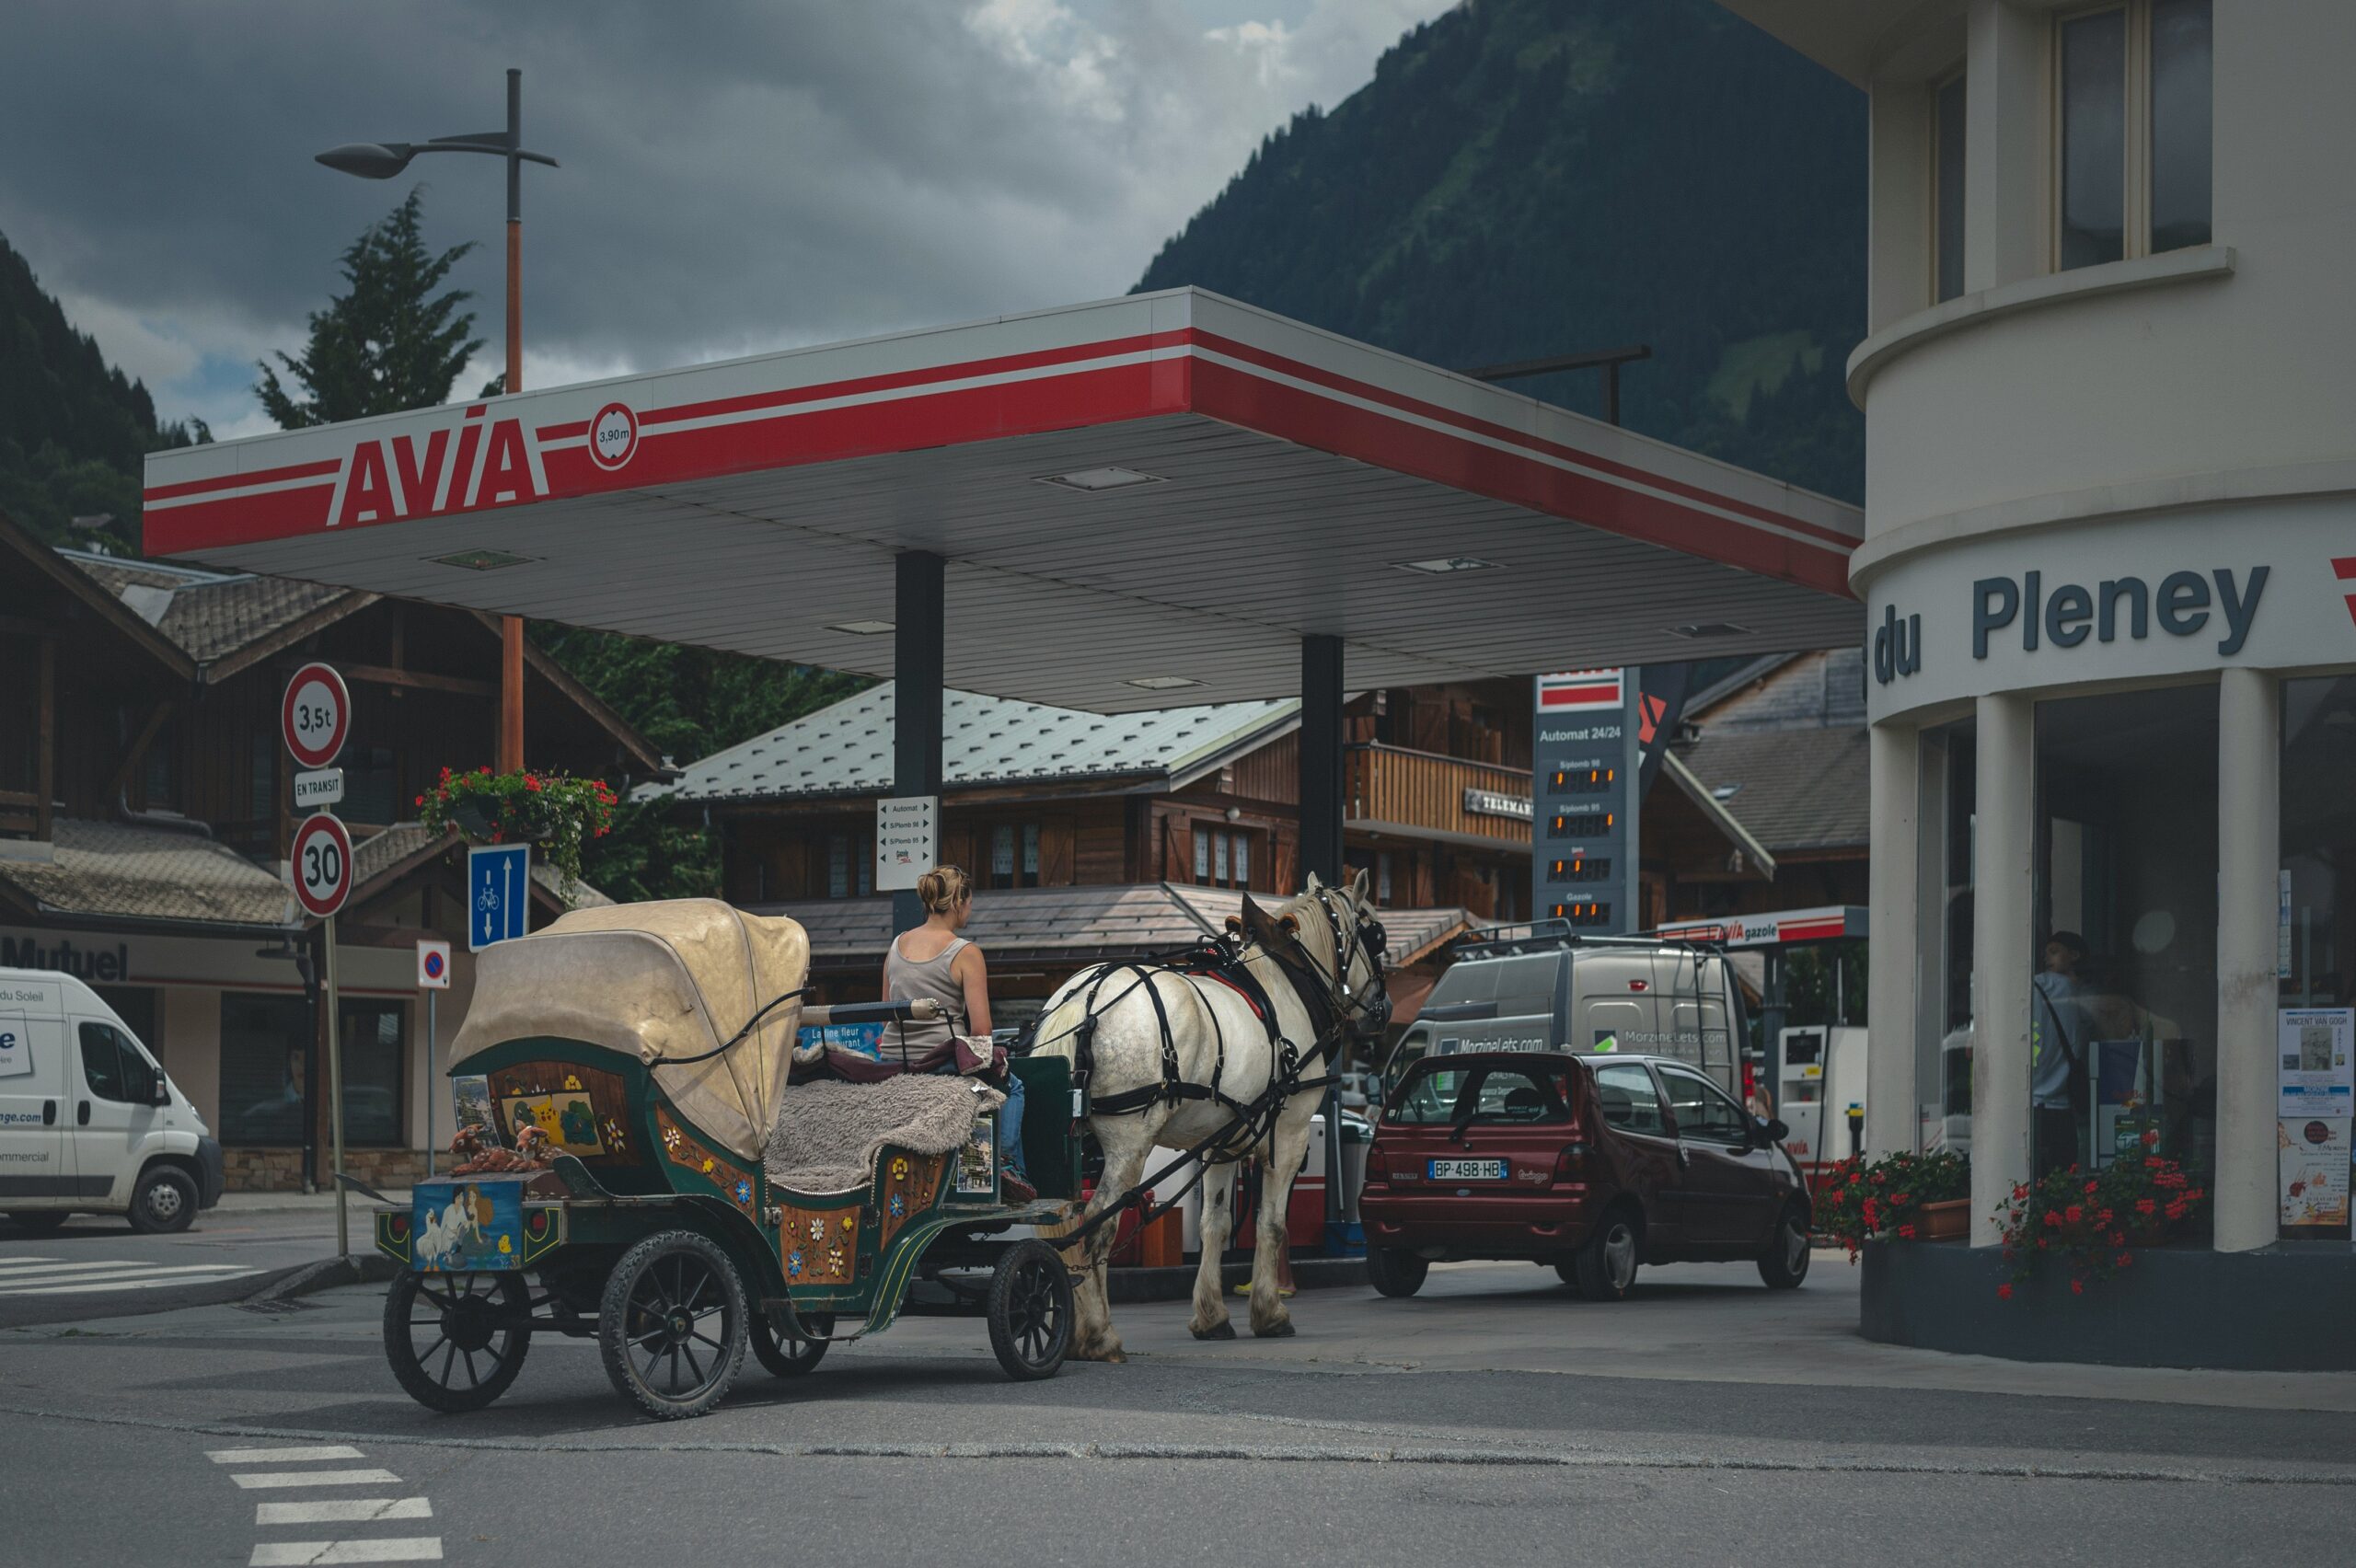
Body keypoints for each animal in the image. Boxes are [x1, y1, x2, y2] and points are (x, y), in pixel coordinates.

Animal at [1027, 866, 1376, 1355]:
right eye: (1376, 935)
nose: (1382, 1008)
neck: (1286, 981)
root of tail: (1086, 1000)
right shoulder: (1289, 1134)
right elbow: (1272, 1224)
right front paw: (1269, 1312)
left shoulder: (1224, 1139)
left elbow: (1217, 1223)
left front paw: (1212, 1316)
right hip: (1127, 1144)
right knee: (1097, 1228)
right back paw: (1099, 1334)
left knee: (1068, 1222)